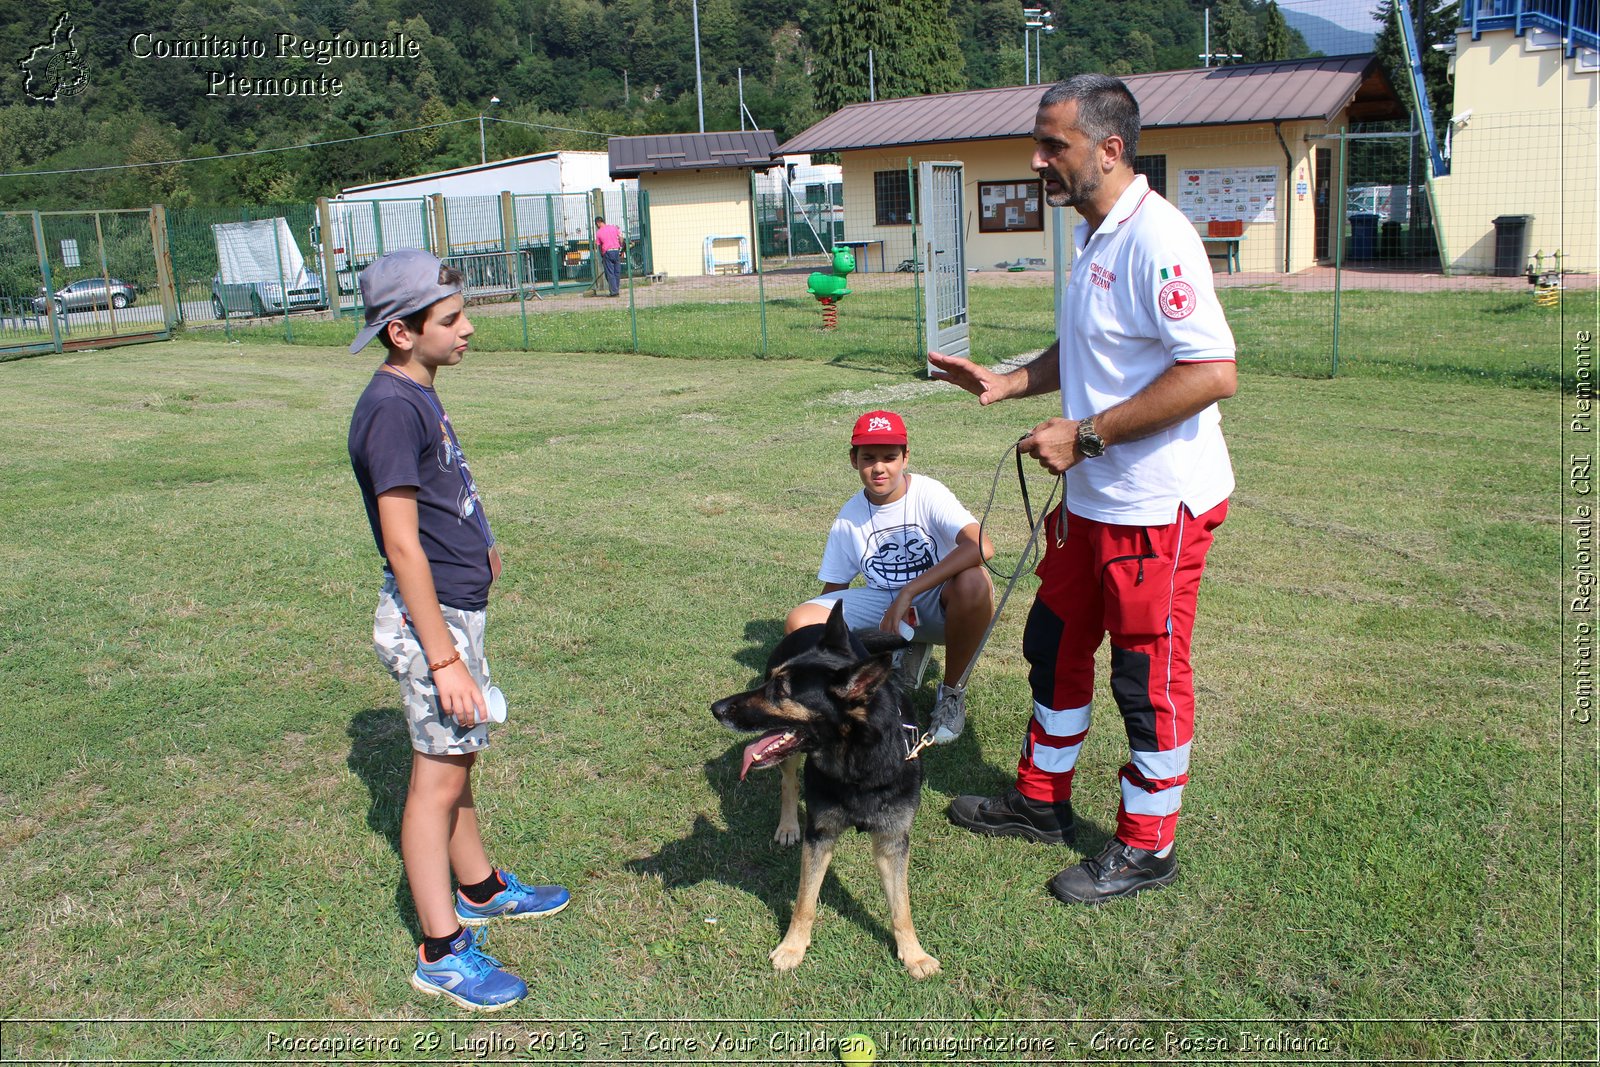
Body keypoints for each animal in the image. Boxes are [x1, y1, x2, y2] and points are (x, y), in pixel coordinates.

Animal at [710, 604, 934, 979]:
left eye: (780, 691)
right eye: (770, 682)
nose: (716, 708)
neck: (858, 766)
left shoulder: (892, 841)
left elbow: (901, 906)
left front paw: (914, 954)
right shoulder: (820, 835)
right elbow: (804, 901)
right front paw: (792, 946)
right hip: (787, 762)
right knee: (788, 783)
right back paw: (788, 826)